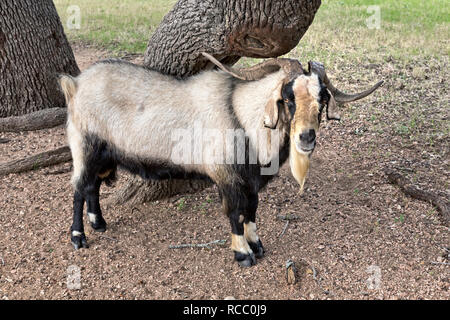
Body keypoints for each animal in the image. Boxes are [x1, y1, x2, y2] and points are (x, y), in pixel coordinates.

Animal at [60, 53, 384, 266]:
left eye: (323, 97)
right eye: (288, 97)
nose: (306, 137)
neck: (241, 116)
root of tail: (74, 84)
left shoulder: (251, 181)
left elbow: (251, 209)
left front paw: (257, 245)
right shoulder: (226, 177)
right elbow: (234, 212)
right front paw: (243, 254)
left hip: (103, 154)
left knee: (92, 186)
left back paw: (99, 223)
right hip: (85, 145)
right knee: (78, 187)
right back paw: (79, 237)